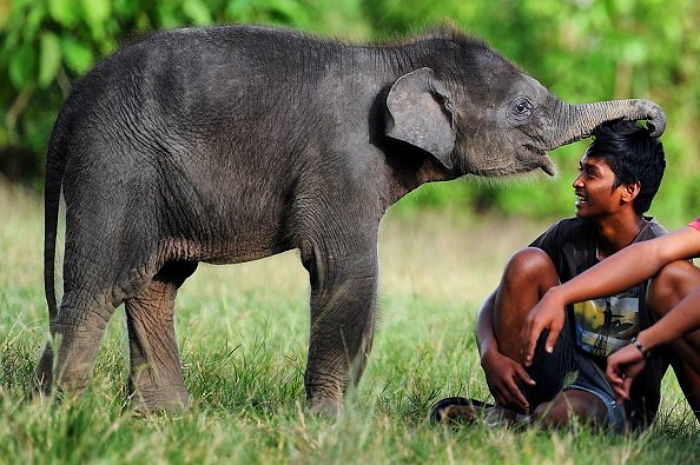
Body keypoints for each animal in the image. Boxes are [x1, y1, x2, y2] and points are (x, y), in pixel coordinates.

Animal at [35, 24, 664, 414]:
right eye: (523, 107)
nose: (648, 123)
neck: (399, 58)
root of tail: (77, 94)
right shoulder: (343, 161)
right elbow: (348, 273)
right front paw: (332, 422)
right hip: (117, 166)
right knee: (100, 284)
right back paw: (62, 414)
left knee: (155, 285)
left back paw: (163, 415)